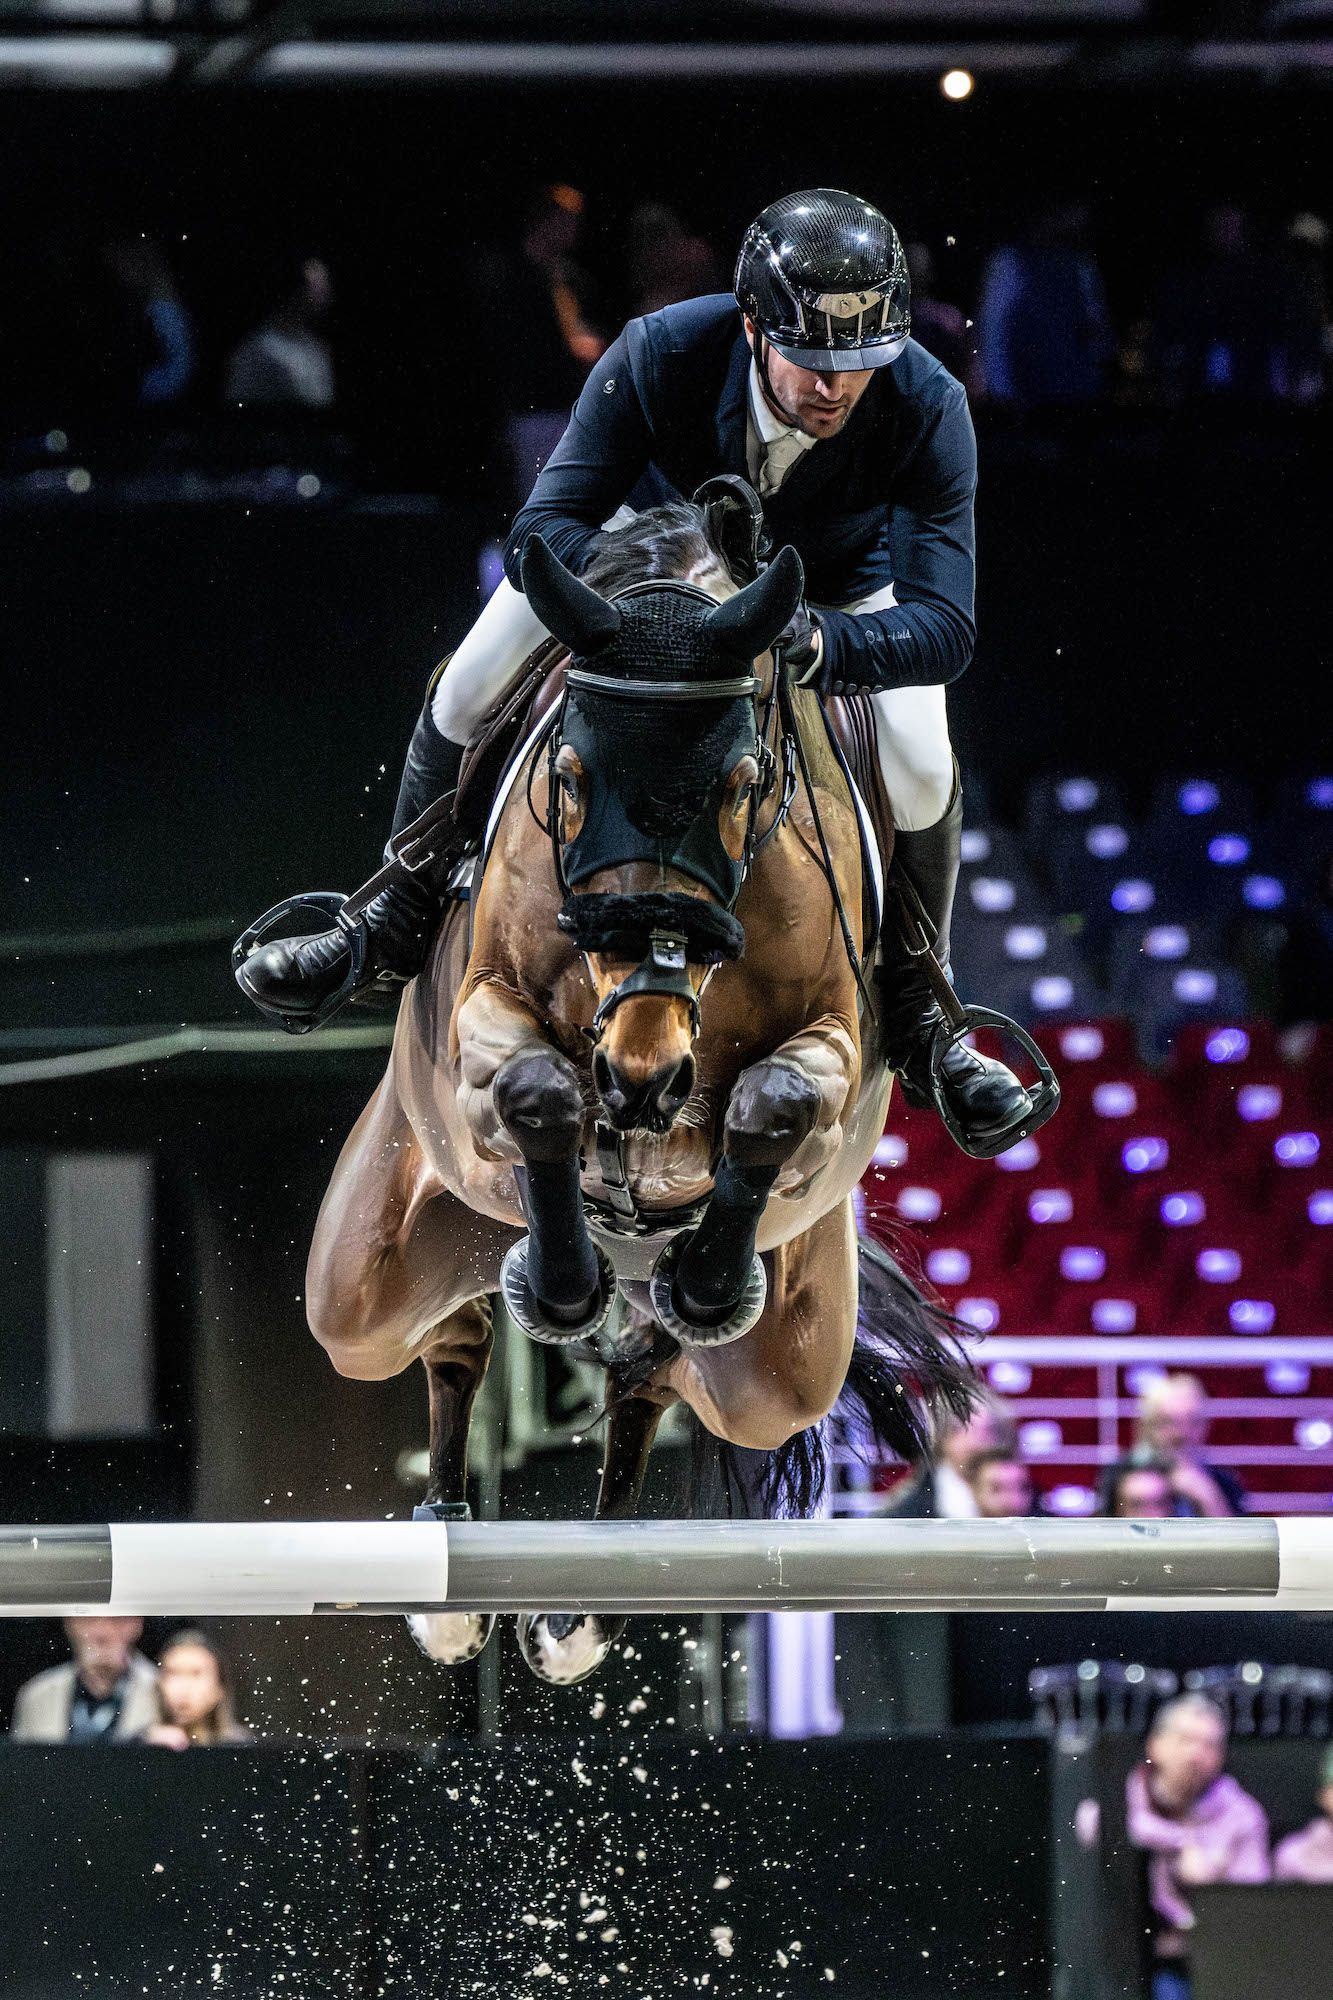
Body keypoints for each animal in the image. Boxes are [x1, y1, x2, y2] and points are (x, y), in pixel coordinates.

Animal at [304, 499, 973, 1684]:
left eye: (745, 784)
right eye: (569, 775)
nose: (644, 1071)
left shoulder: (830, 1049)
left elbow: (774, 1103)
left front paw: (700, 1276)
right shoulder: (489, 1015)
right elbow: (538, 1090)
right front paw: (565, 1283)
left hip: (780, 1372)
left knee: (656, 1377)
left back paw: (587, 1598)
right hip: (375, 1264)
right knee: (438, 1337)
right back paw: (450, 1570)